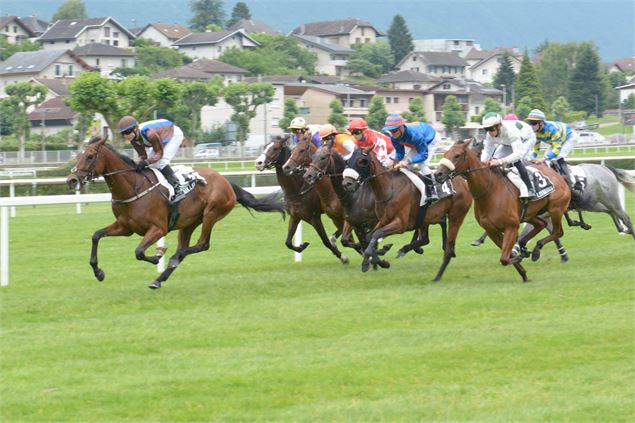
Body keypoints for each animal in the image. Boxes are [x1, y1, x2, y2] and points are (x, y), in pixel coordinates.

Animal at [66, 137, 284, 290]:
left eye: (90, 156)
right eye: (77, 155)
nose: (71, 180)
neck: (133, 188)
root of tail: (226, 181)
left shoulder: (158, 228)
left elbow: (139, 252)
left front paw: (157, 256)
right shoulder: (125, 227)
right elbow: (96, 235)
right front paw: (98, 272)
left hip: (211, 214)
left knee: (201, 245)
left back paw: (171, 258)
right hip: (188, 223)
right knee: (186, 247)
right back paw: (159, 278)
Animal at [255, 135, 348, 264]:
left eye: (275, 148)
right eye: (265, 146)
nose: (258, 162)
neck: (298, 188)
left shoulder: (314, 217)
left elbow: (325, 241)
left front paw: (343, 257)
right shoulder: (295, 216)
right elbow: (288, 242)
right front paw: (301, 246)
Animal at [342, 145, 472, 282]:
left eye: (361, 161)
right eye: (347, 161)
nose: (347, 184)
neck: (389, 189)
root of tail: (463, 181)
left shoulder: (400, 224)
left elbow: (377, 234)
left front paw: (368, 262)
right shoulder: (383, 220)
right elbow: (370, 237)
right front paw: (380, 261)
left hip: (456, 215)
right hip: (426, 218)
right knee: (425, 238)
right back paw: (405, 249)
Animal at [434, 139, 572, 284]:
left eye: (457, 156)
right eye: (445, 154)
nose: (438, 174)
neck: (489, 191)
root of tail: (560, 177)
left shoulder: (511, 227)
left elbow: (504, 258)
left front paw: (521, 256)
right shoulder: (492, 230)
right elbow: (506, 255)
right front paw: (524, 272)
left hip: (555, 209)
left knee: (557, 232)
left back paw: (535, 250)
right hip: (529, 214)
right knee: (541, 224)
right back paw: (526, 246)